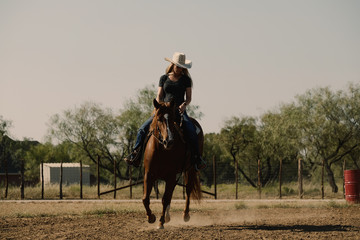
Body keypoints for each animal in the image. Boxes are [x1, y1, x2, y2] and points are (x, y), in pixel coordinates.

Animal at [142, 99, 202, 229]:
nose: (168, 141)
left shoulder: (170, 175)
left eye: (171, 119)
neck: (161, 150)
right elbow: (145, 198)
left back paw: (185, 215)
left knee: (188, 190)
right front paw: (151, 217)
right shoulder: (149, 174)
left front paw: (160, 222)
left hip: (190, 169)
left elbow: (165, 199)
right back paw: (168, 217)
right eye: (159, 118)